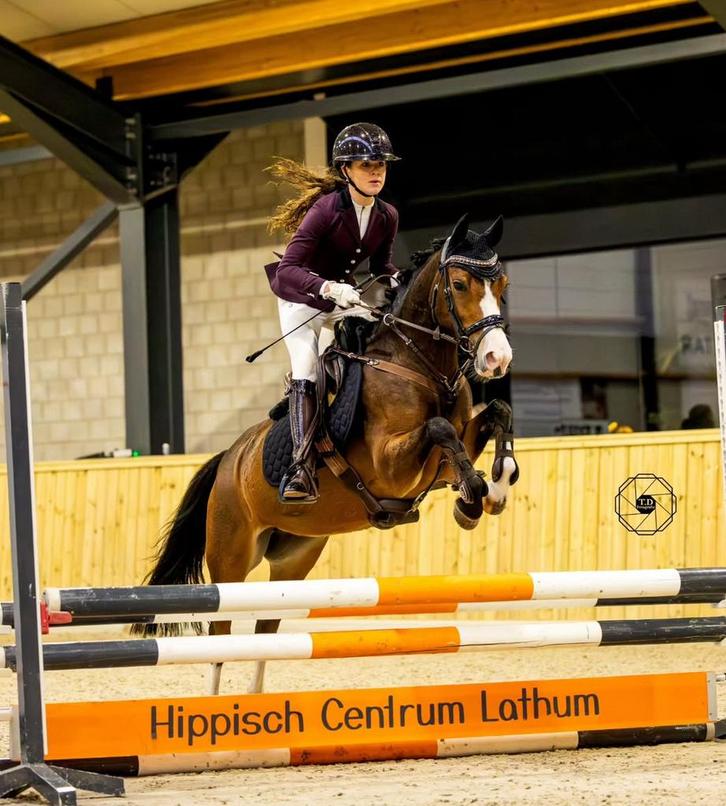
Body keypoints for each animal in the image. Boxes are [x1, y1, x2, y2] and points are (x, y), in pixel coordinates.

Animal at [134, 213, 518, 694]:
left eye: (502, 284)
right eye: (462, 284)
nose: (497, 358)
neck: (417, 364)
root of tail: (228, 459)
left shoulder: (446, 456)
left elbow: (495, 413)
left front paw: (493, 489)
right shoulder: (391, 466)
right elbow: (440, 428)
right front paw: (473, 497)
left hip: (294, 558)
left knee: (267, 630)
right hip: (230, 555)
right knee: (221, 635)